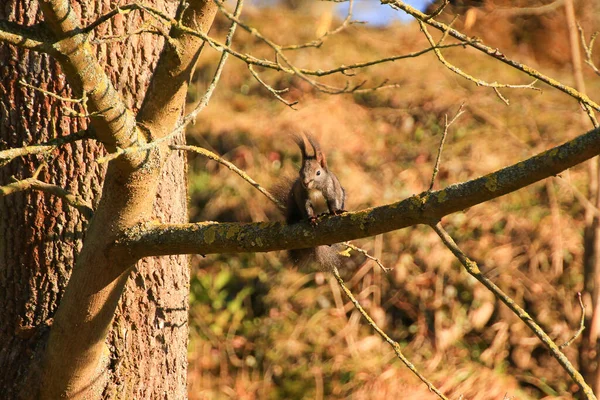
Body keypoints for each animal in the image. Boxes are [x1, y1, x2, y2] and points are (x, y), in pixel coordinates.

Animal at [282, 134, 346, 272]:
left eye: (318, 172)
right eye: (300, 172)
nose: (305, 183)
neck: (315, 189)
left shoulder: (330, 190)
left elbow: (332, 202)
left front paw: (335, 211)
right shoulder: (303, 197)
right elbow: (307, 208)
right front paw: (311, 219)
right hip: (292, 201)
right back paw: (294, 219)